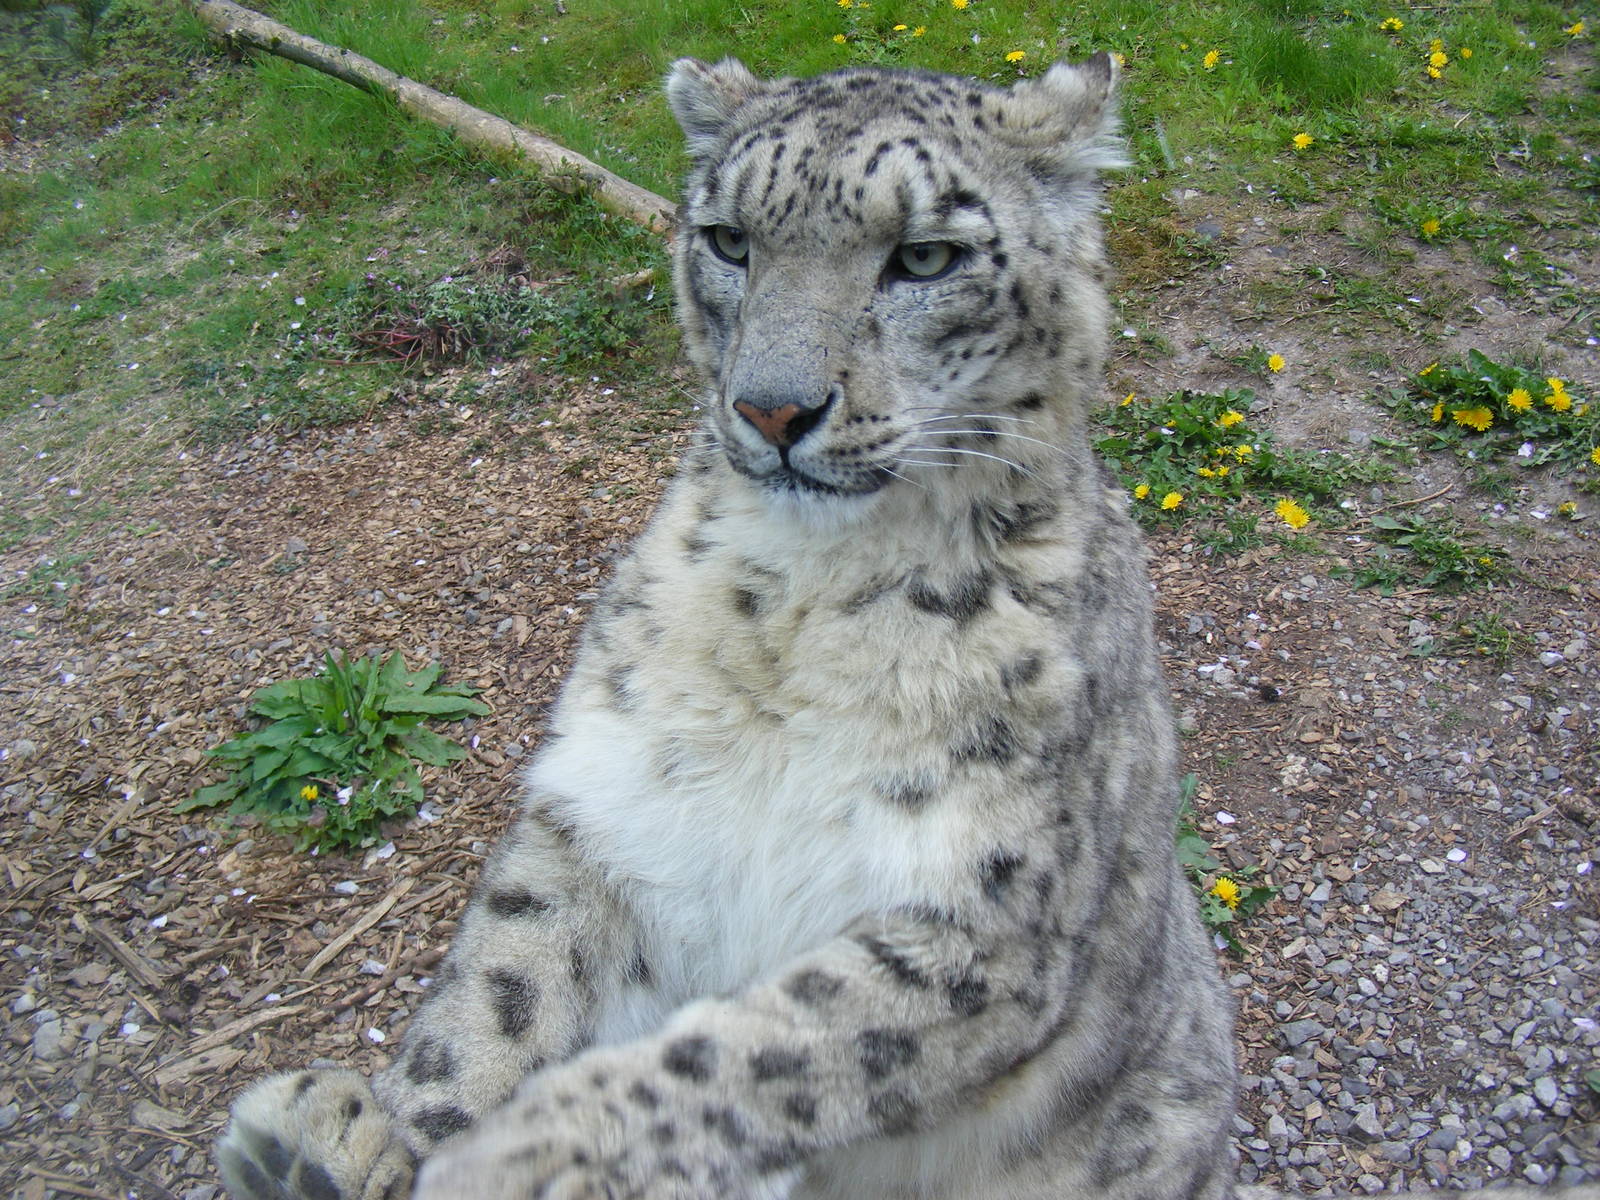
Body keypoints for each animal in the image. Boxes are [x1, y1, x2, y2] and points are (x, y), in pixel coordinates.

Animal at [214, 55, 1599, 1200]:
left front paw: (544, 1152)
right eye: (727, 239)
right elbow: (500, 987)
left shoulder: (985, 913)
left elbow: (759, 1048)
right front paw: (360, 1140)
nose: (773, 408)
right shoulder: (609, 812)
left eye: (925, 258)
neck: (796, 601)